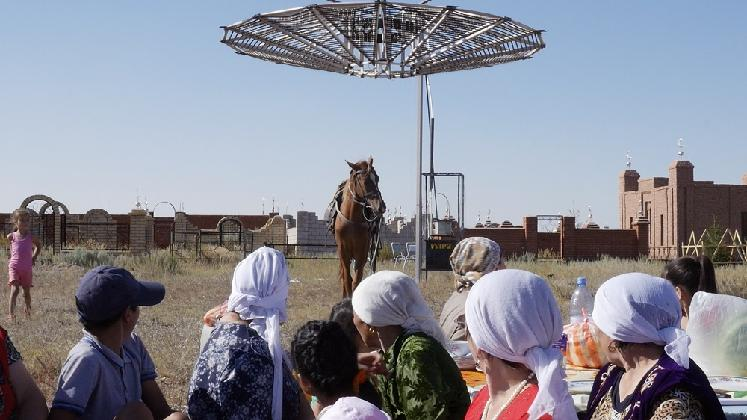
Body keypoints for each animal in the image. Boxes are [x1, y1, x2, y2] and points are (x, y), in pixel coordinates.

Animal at [334, 158, 386, 298]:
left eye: (377, 178)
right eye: (365, 181)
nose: (381, 206)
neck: (352, 220)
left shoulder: (362, 252)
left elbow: (357, 280)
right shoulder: (343, 251)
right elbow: (347, 279)